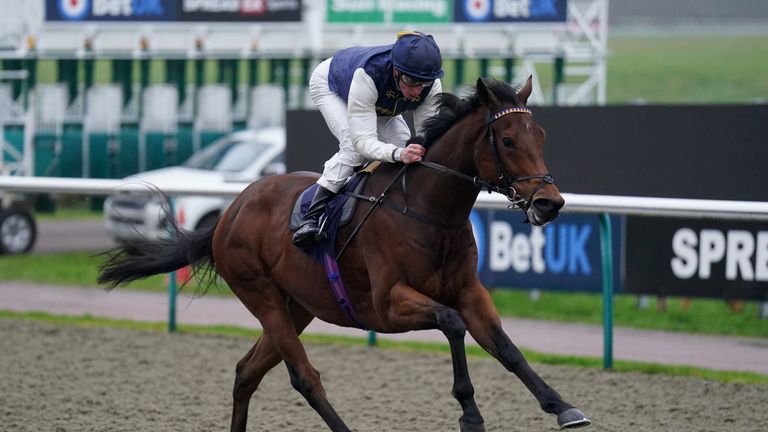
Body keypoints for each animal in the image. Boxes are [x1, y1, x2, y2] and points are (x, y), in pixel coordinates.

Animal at [99, 77, 592, 432]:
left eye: (540, 136)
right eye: (507, 141)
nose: (550, 203)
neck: (429, 210)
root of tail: (230, 212)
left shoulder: (469, 290)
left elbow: (506, 347)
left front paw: (563, 406)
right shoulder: (388, 304)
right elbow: (452, 324)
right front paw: (469, 413)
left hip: (297, 305)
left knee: (245, 372)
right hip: (260, 295)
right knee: (304, 377)